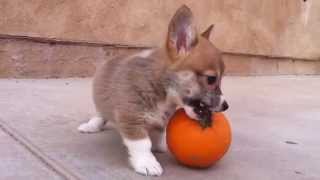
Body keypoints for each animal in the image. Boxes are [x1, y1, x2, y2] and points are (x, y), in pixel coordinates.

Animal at [77, 5, 228, 176]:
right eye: (211, 79)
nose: (226, 106)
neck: (162, 90)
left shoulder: (160, 120)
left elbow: (157, 134)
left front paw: (158, 147)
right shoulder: (131, 117)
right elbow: (142, 143)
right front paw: (147, 163)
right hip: (101, 101)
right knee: (100, 114)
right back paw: (91, 126)